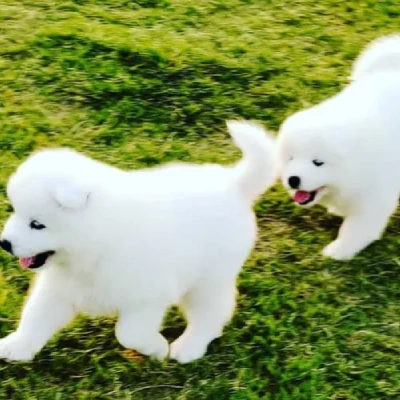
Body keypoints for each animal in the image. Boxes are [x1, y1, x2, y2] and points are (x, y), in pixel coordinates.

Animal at [0, 120, 276, 364]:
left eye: (37, 224)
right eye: (15, 211)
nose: (5, 243)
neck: (94, 246)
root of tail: (235, 184)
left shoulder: (147, 298)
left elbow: (128, 333)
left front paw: (157, 348)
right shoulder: (58, 289)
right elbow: (35, 317)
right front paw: (16, 346)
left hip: (209, 279)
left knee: (210, 313)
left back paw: (189, 346)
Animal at [276, 33, 400, 260]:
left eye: (318, 162)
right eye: (290, 158)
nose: (293, 179)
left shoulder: (373, 198)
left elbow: (355, 229)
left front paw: (338, 251)